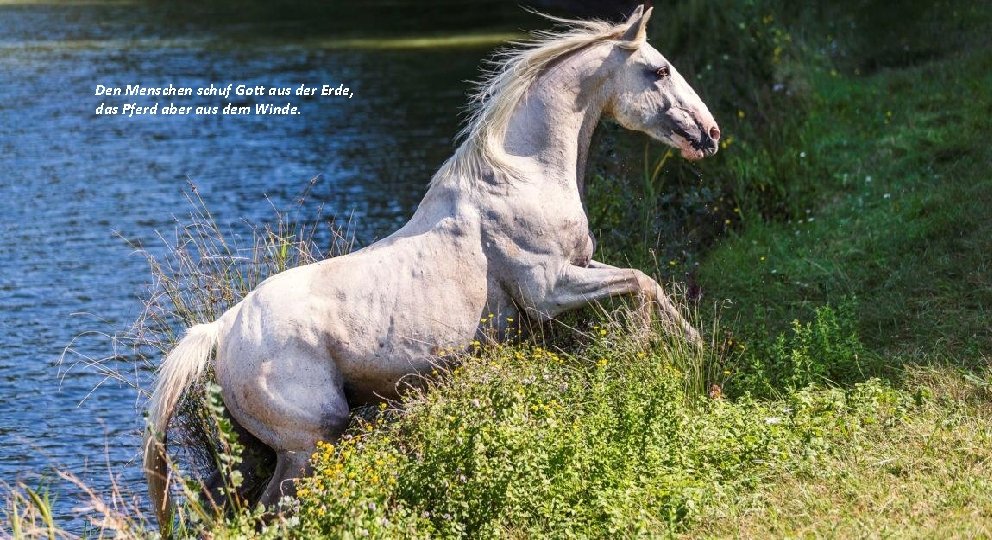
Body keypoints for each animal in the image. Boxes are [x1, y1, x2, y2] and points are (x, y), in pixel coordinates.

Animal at [143, 3, 720, 528]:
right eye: (659, 70)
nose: (710, 134)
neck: (522, 176)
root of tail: (223, 327)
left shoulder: (580, 265)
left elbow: (648, 283)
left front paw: (694, 350)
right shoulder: (550, 289)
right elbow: (640, 282)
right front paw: (657, 348)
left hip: (260, 451)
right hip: (311, 442)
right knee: (274, 513)